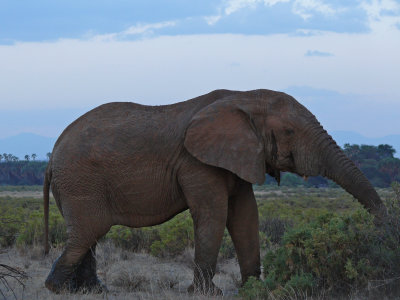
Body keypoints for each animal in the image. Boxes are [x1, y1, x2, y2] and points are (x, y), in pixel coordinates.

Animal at [43, 89, 388, 296]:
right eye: (289, 131)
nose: (379, 230)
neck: (245, 97)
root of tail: (51, 155)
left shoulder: (238, 158)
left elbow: (245, 215)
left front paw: (252, 290)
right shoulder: (196, 162)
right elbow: (214, 213)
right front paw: (208, 294)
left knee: (89, 235)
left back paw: (92, 291)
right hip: (80, 182)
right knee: (87, 232)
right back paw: (57, 289)